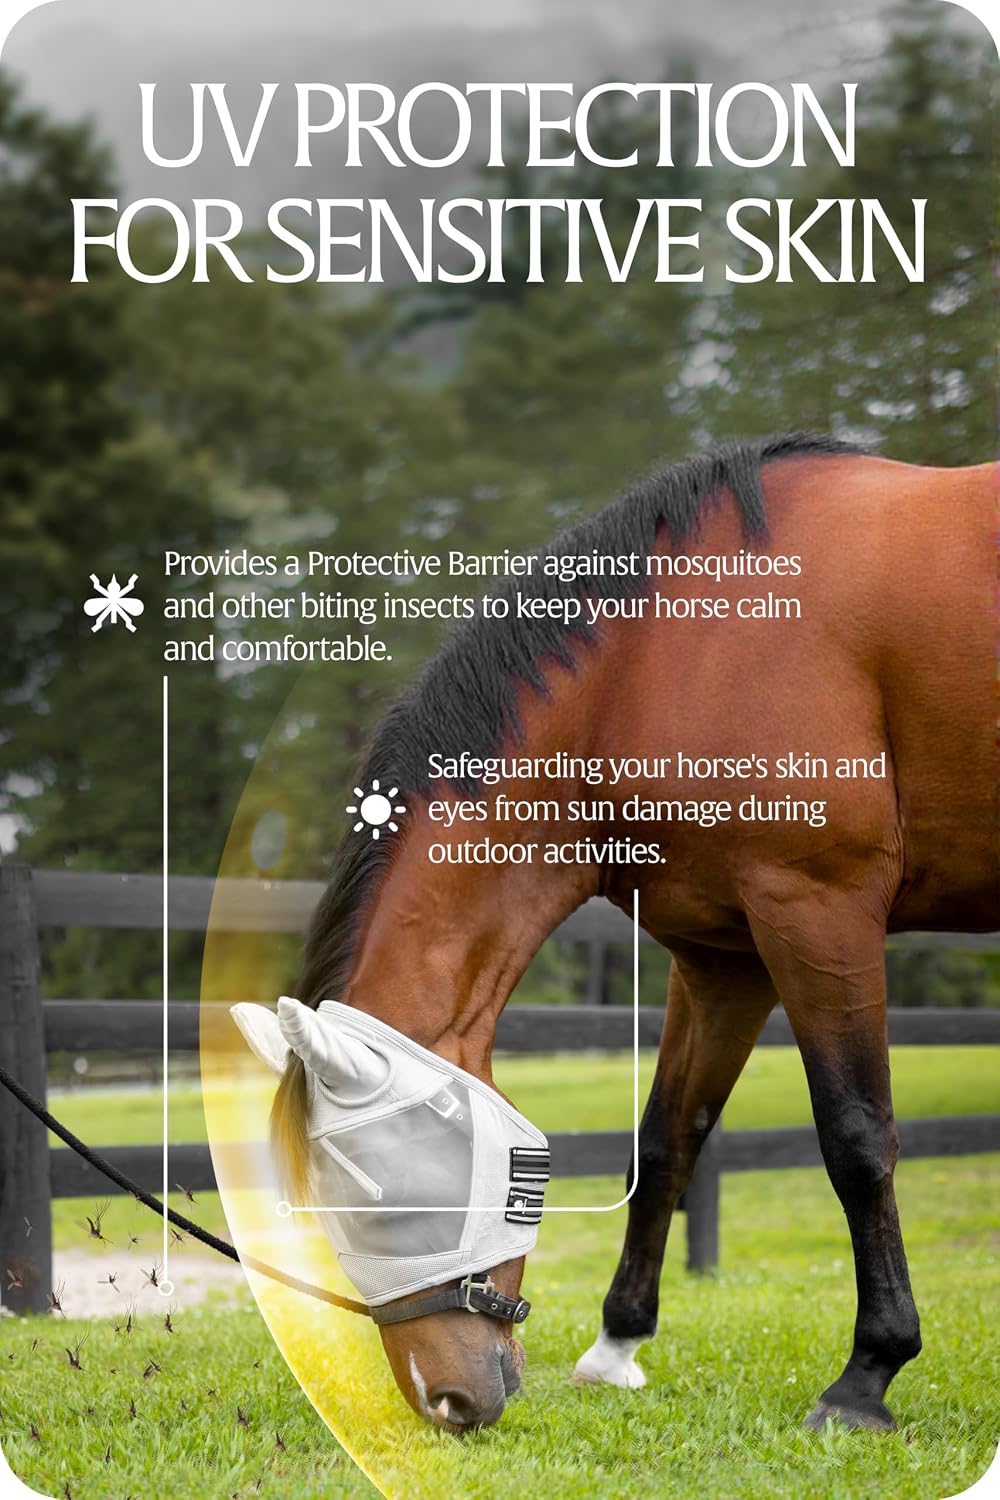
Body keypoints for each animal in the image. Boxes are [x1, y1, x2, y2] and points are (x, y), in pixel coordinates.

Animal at [251, 432, 996, 1433]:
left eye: (379, 1206)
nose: (446, 1402)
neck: (669, 652)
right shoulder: (726, 959)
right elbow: (668, 1138)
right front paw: (617, 1346)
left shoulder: (818, 912)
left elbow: (857, 1136)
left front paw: (868, 1372)